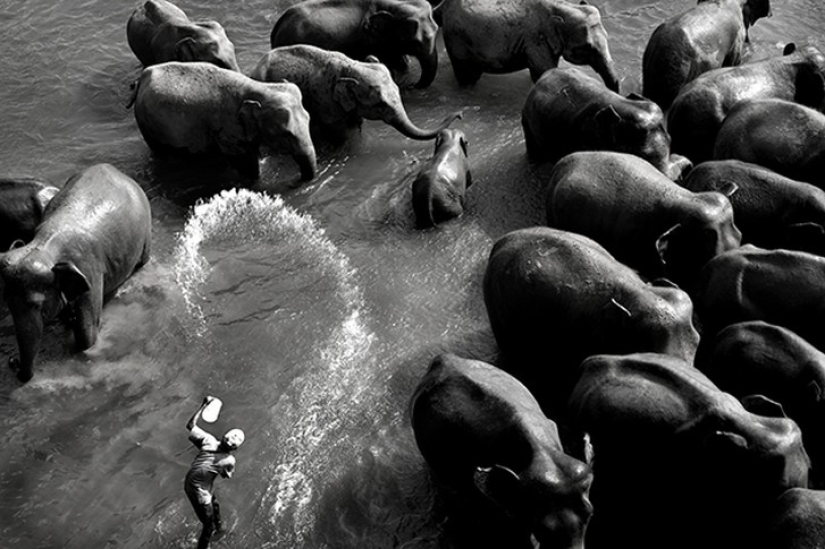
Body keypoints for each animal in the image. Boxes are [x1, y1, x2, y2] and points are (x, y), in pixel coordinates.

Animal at [0, 164, 151, 383]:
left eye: (37, 305)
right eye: (8, 303)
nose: (12, 361)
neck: (45, 244)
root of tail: (118, 171)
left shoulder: (90, 269)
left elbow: (87, 336)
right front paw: (67, 318)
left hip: (146, 231)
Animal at [132, 62, 317, 181]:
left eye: (309, 121)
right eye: (286, 134)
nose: (298, 181)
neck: (258, 88)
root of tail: (143, 77)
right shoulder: (228, 130)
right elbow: (246, 164)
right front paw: (254, 178)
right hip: (148, 126)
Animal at [248, 45, 462, 144]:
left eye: (399, 95)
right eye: (380, 105)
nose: (459, 114)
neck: (351, 67)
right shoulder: (326, 103)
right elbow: (338, 135)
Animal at [435, 0, 620, 91]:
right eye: (588, 47)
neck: (563, 6)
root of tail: (442, 6)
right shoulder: (536, 41)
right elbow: (543, 72)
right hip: (456, 41)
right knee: (467, 77)